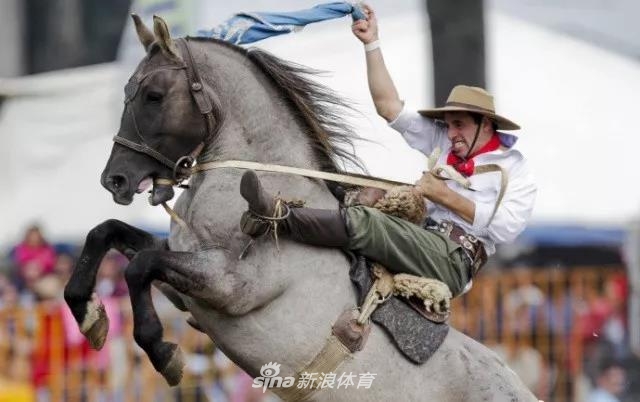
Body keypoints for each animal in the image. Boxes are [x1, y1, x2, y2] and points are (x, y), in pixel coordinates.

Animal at [63, 15, 537, 401]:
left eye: (154, 95)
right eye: (129, 90)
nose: (115, 179)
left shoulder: (231, 286)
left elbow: (138, 266)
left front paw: (163, 351)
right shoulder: (183, 281)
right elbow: (108, 233)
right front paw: (88, 314)